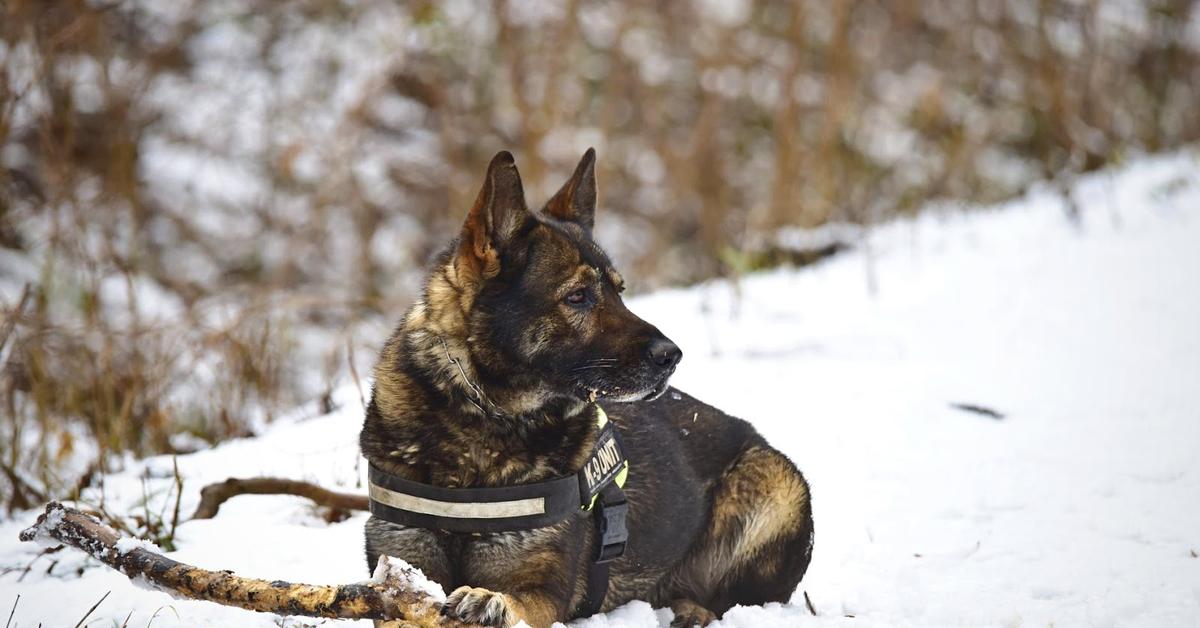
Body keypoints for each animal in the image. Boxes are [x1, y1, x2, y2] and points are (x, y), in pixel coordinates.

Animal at [357, 150, 816, 624]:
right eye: (577, 297)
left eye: (619, 291)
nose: (672, 356)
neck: (485, 417)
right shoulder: (402, 564)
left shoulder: (546, 591)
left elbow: (517, 598)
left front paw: (491, 599)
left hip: (779, 489)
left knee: (732, 599)